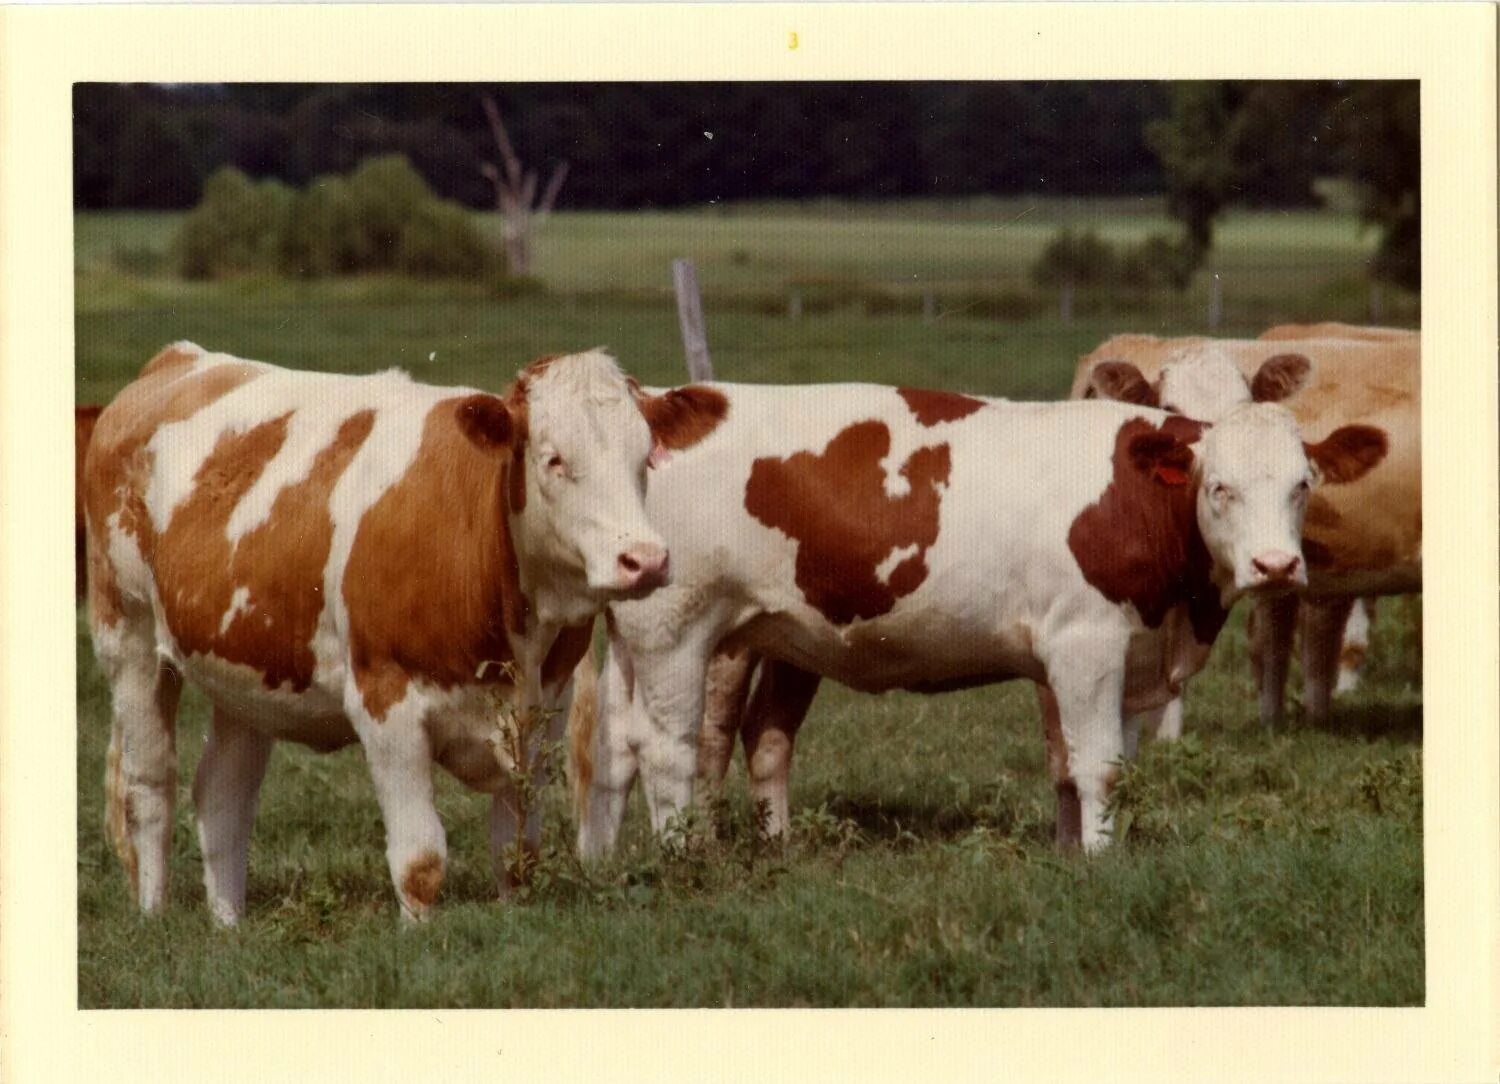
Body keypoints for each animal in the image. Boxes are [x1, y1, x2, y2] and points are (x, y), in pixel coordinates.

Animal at [84, 341, 681, 924]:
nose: (645, 560)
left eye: (644, 458)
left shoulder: (544, 712)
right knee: (149, 785)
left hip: (245, 670)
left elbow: (517, 855)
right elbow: (420, 860)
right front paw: (418, 937)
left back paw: (229, 924)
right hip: (127, 634)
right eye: (553, 458)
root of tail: (180, 357)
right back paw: (153, 915)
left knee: (222, 791)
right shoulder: (387, 702)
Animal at [570, 381, 1388, 855]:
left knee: (657, 744)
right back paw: (682, 861)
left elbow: (1080, 767)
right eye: (1219, 488)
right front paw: (1103, 863)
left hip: (735, 635)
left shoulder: (1116, 656)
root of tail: (664, 397)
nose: (1276, 567)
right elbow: (1098, 764)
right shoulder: (1086, 644)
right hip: (676, 629)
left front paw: (1072, 855)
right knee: (669, 748)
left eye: (1303, 484)